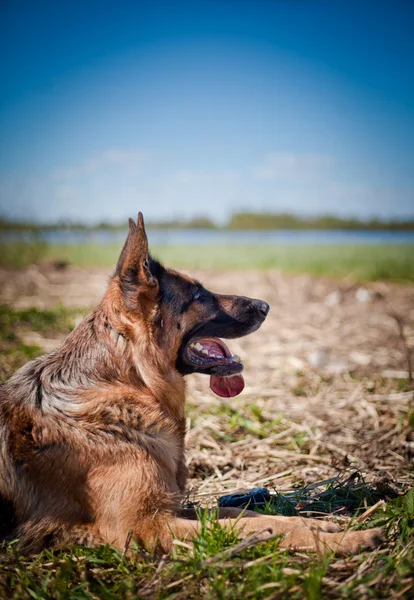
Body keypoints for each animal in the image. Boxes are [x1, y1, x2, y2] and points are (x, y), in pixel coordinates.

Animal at [0, 213, 382, 556]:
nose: (266, 305)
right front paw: (344, 539)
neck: (127, 383)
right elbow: (253, 526)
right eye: (197, 295)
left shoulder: (171, 507)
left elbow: (238, 511)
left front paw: (316, 523)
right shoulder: (146, 526)